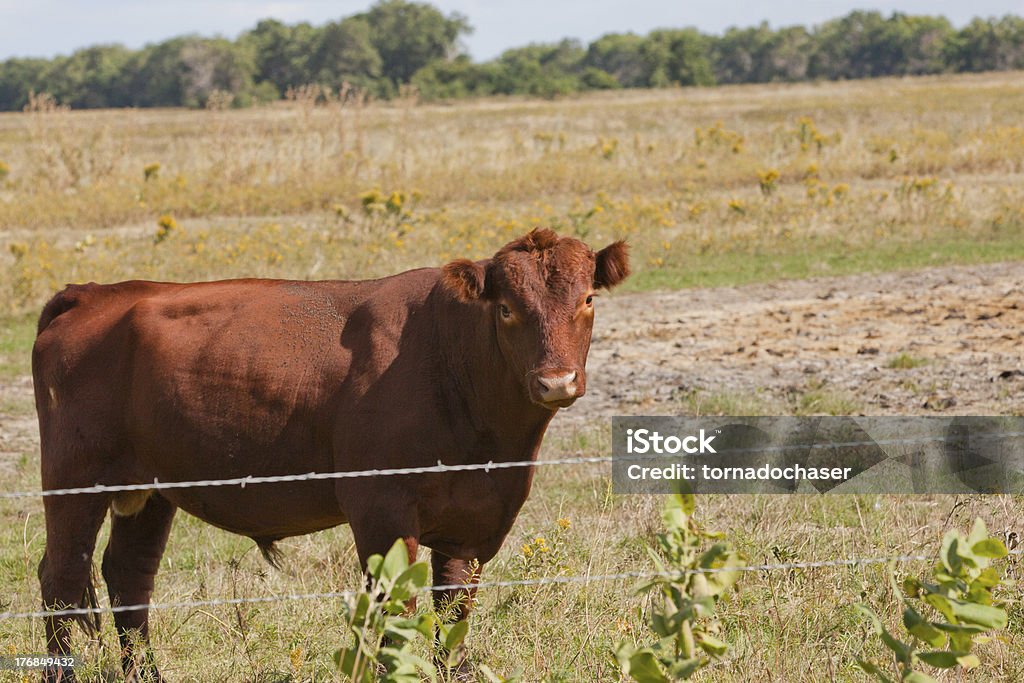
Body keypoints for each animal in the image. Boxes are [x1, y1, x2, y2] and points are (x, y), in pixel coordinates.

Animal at [32, 228, 626, 679]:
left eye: (587, 300)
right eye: (505, 309)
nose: (555, 380)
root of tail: (96, 293)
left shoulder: (474, 524)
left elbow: (453, 614)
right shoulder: (381, 509)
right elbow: (396, 613)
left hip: (151, 489)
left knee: (129, 577)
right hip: (74, 480)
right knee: (61, 580)